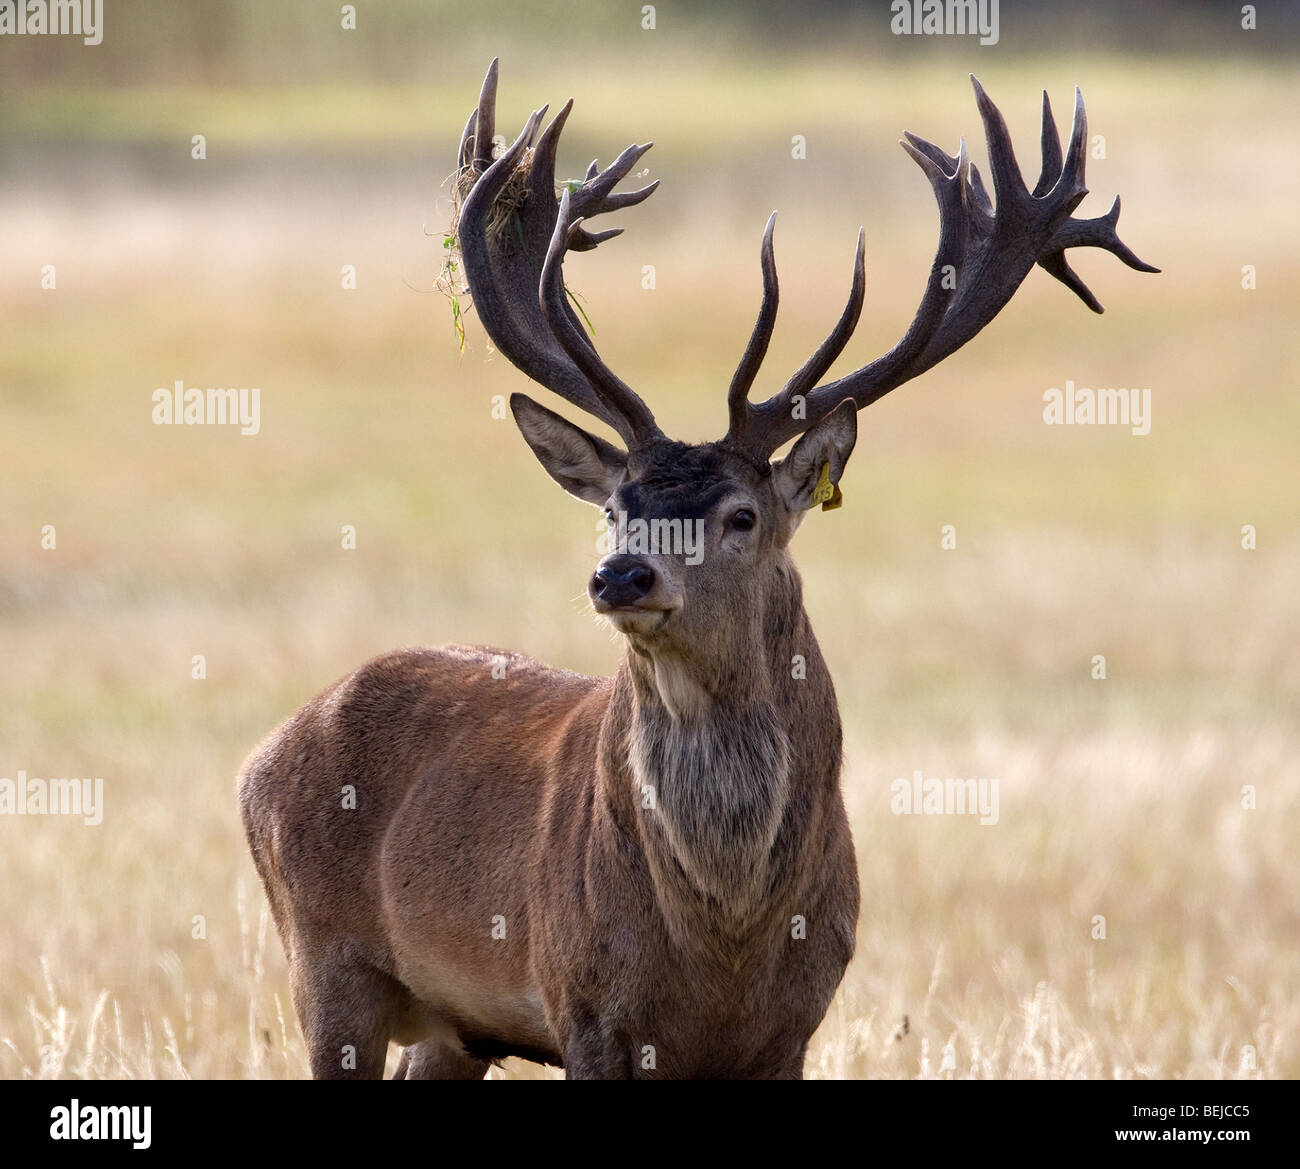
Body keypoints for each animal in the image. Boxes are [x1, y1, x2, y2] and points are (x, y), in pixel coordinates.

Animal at [239, 59, 1154, 1081]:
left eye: (740, 515)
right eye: (614, 506)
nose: (622, 577)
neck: (725, 944)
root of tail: (263, 752)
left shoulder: (798, 1021)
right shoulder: (583, 1003)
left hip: (446, 1027)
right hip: (321, 960)